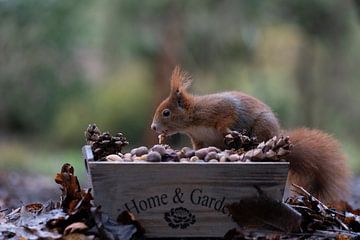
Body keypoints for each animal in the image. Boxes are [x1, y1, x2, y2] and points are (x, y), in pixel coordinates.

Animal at [150, 66, 350, 202]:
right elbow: (198, 147)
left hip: (262, 127)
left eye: (166, 112)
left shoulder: (220, 109)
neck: (192, 120)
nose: (153, 127)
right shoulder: (198, 139)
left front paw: (228, 132)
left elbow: (226, 120)